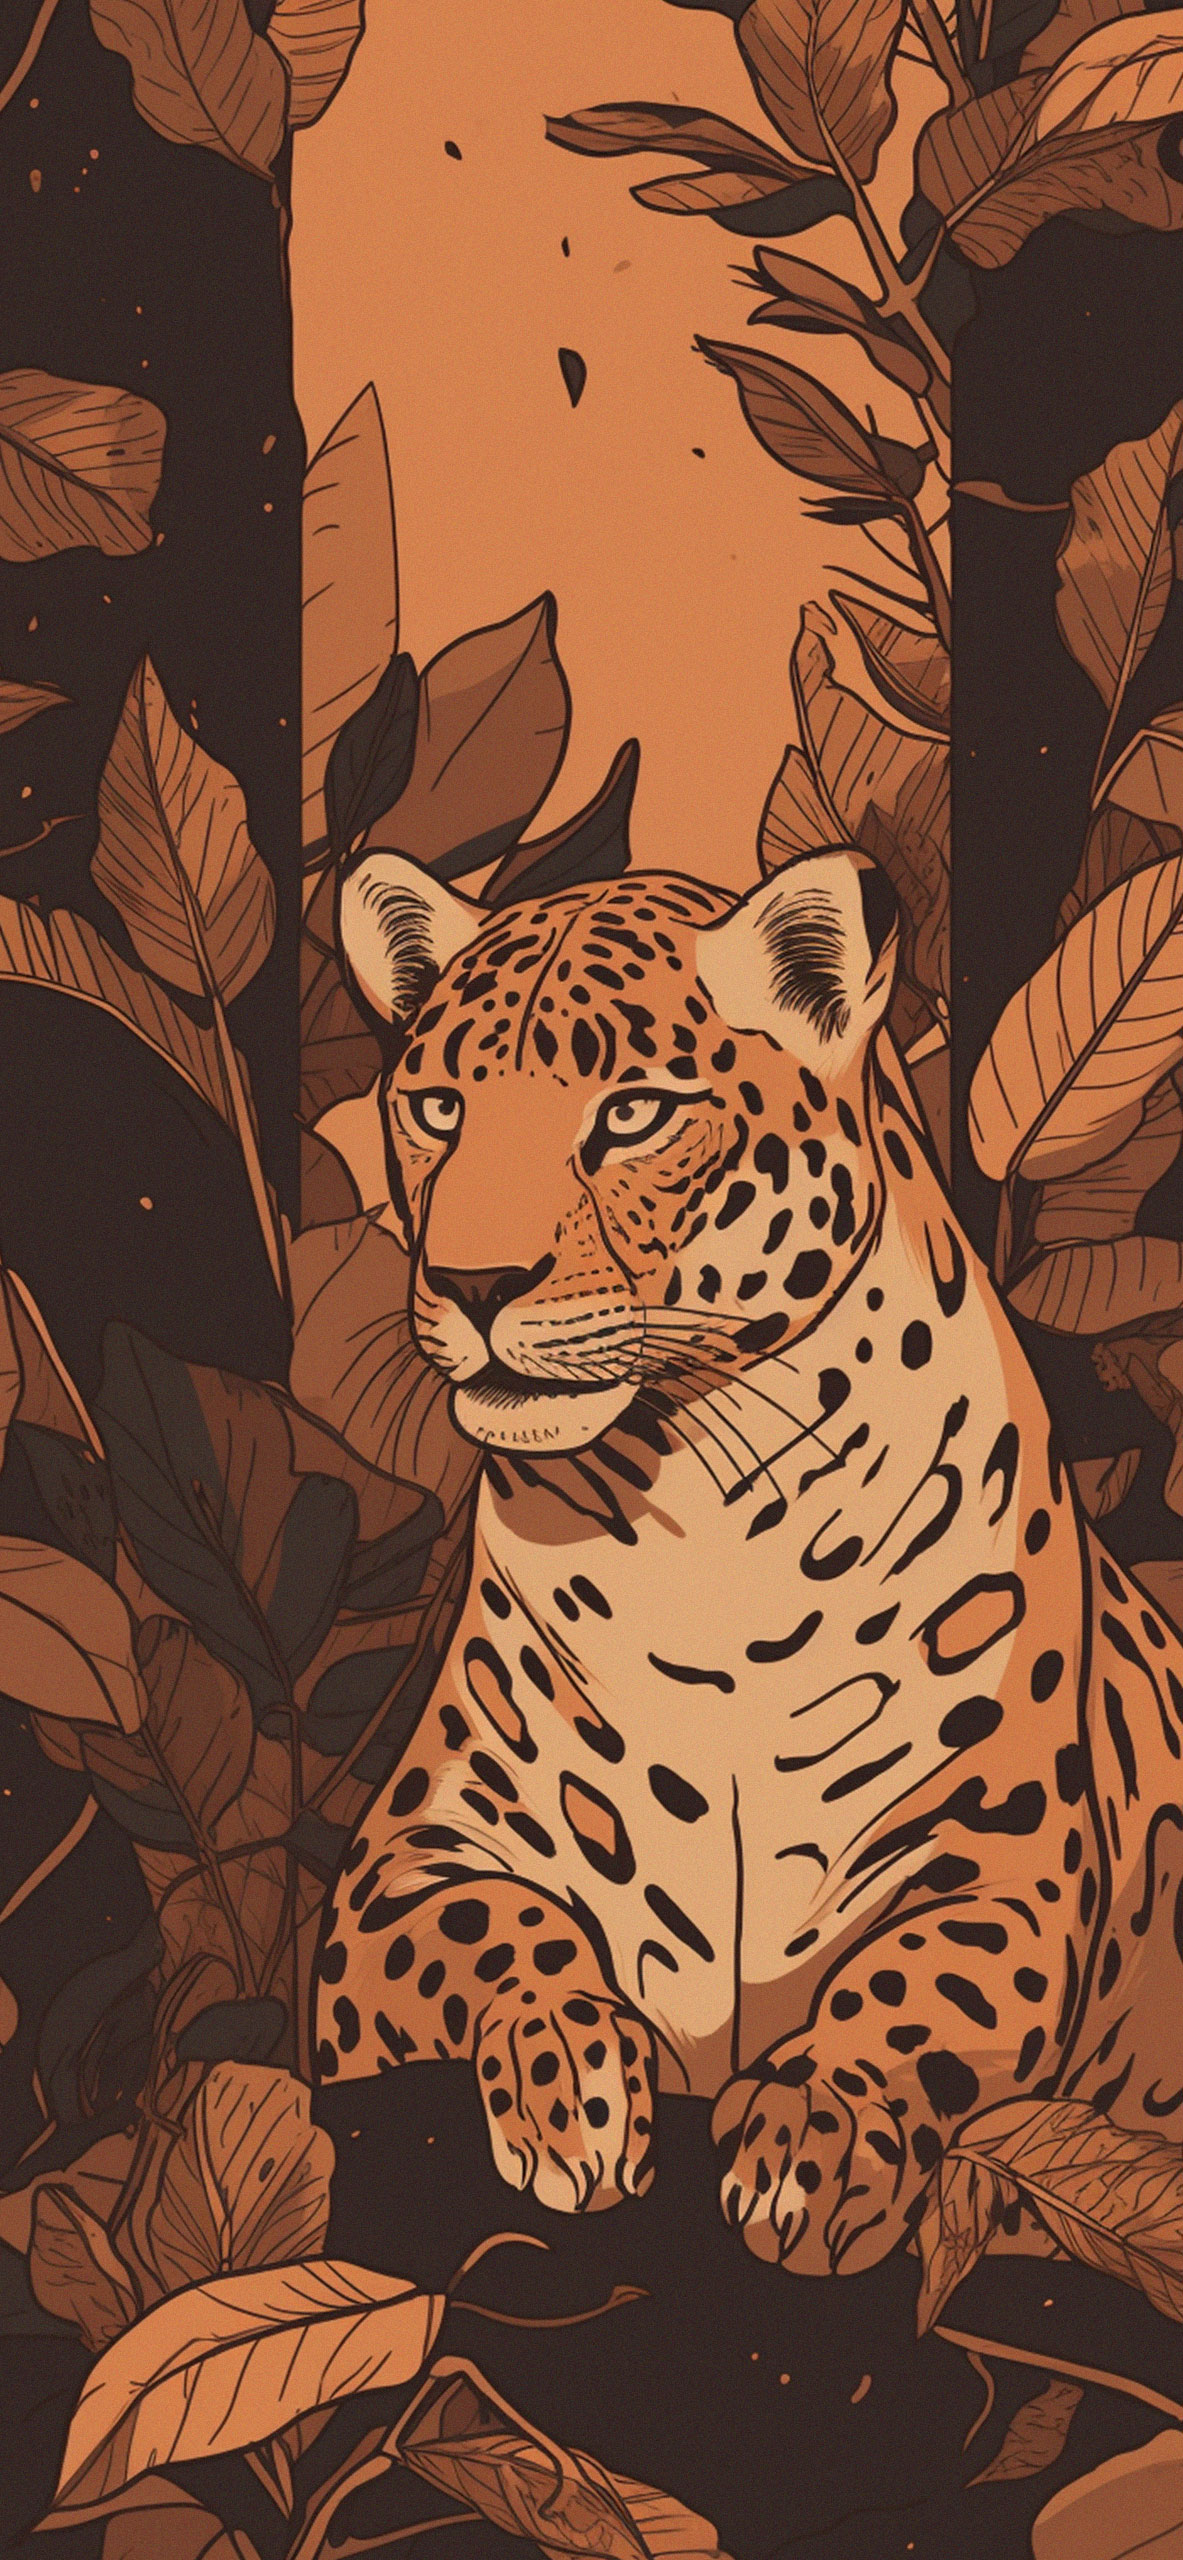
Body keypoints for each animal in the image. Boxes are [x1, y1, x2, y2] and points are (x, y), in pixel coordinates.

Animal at [312, 840, 1183, 2280]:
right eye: (436, 1107)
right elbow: (498, 1930)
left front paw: (816, 2142)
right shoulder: (404, 1859)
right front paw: (569, 2089)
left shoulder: (1003, 1859)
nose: (473, 1282)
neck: (698, 1534)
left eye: (630, 1113)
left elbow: (908, 1986)